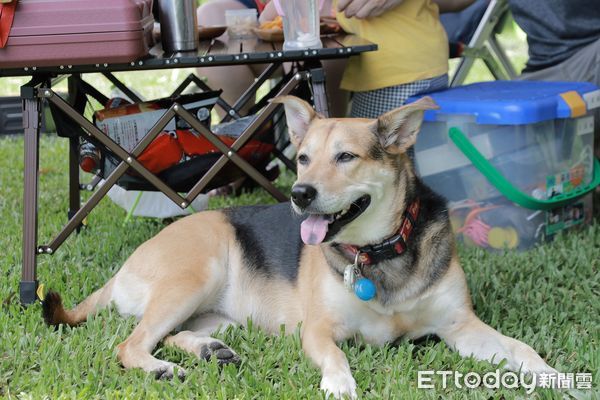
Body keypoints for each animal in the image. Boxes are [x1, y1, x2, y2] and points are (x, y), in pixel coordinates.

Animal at [43, 95, 556, 398]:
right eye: (304, 157)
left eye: (346, 157)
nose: (299, 193)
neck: (378, 252)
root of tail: (121, 271)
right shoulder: (320, 331)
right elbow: (337, 356)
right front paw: (341, 385)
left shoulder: (460, 327)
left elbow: (522, 348)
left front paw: (555, 377)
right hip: (195, 274)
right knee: (130, 344)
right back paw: (160, 369)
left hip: (218, 313)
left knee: (169, 334)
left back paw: (209, 350)